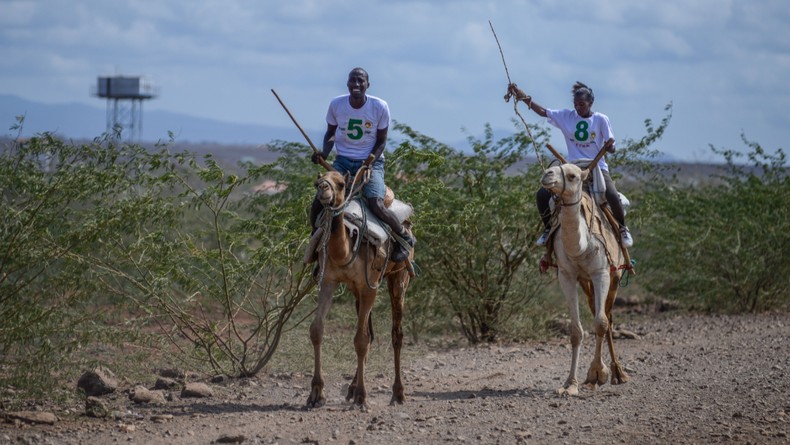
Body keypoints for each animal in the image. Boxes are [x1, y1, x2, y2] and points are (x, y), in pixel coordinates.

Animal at [306, 170, 413, 409]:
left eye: (340, 183)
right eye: (318, 181)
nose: (323, 189)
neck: (344, 250)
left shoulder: (369, 286)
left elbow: (361, 340)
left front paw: (363, 397)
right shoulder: (329, 280)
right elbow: (317, 329)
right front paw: (316, 393)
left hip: (399, 277)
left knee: (396, 334)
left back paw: (398, 394)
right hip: (357, 291)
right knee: (370, 333)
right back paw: (352, 388)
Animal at [539, 160, 631, 396]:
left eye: (572, 176)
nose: (547, 174)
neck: (580, 246)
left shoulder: (601, 273)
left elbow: (600, 323)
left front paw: (597, 374)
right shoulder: (567, 276)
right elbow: (575, 331)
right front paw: (570, 384)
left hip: (615, 275)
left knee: (608, 316)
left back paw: (618, 373)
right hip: (585, 281)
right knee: (596, 309)